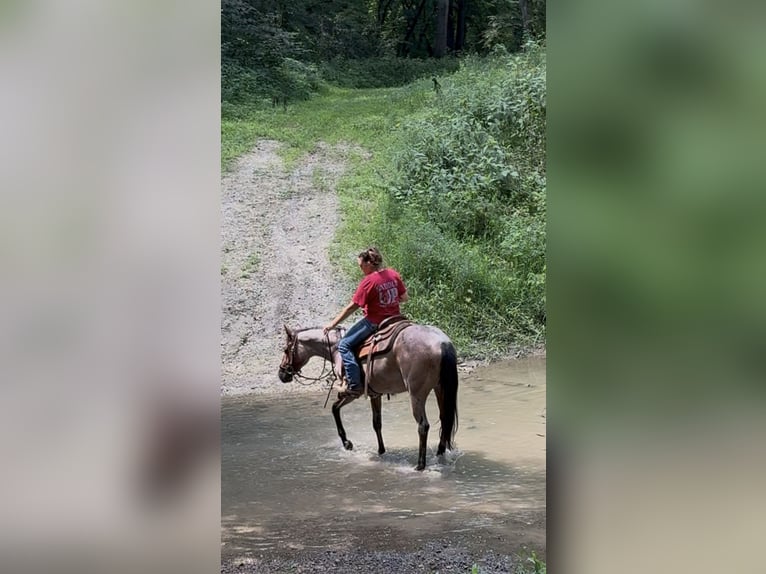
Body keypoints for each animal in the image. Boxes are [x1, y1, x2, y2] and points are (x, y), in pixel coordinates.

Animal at [277, 323, 458, 471]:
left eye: (286, 350)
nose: (282, 374)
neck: (336, 348)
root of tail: (442, 343)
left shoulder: (352, 392)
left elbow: (334, 408)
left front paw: (347, 443)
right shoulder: (374, 394)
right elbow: (376, 423)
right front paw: (381, 451)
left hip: (416, 395)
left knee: (423, 426)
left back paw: (420, 465)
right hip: (440, 389)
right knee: (444, 419)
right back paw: (440, 454)